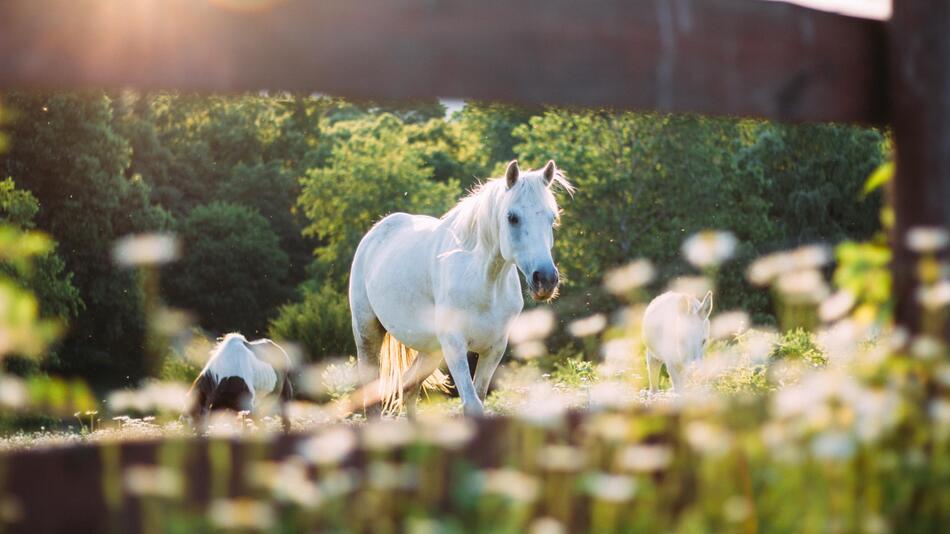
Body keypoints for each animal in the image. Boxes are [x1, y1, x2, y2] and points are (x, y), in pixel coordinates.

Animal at [350, 160, 572, 418]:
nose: (545, 279)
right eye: (512, 217)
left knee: (409, 387)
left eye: (552, 218)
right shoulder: (455, 345)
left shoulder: (494, 348)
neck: (483, 283)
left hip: (431, 351)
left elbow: (480, 397)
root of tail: (375, 232)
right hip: (367, 333)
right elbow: (472, 403)